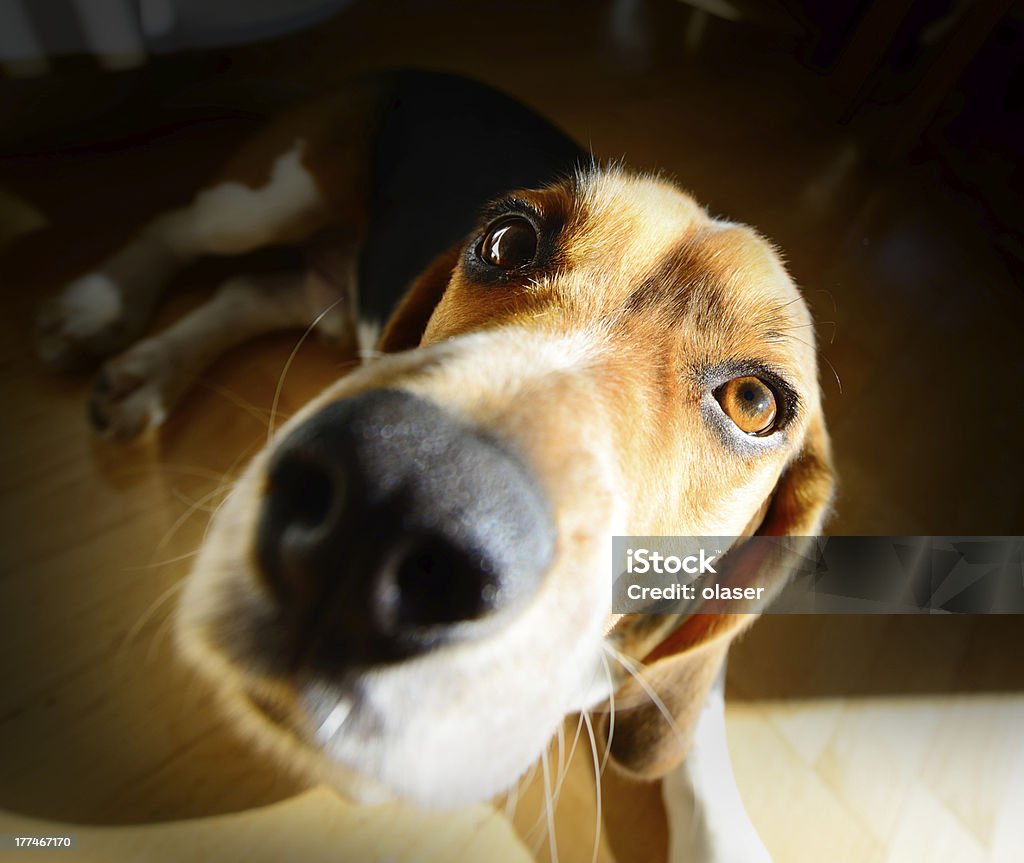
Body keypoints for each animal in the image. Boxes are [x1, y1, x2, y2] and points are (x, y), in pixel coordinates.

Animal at [36, 70, 831, 859]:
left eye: (755, 401)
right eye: (508, 240)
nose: (386, 502)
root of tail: (414, 70)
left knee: (250, 291)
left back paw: (148, 370)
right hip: (262, 200)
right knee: (178, 227)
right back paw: (105, 309)